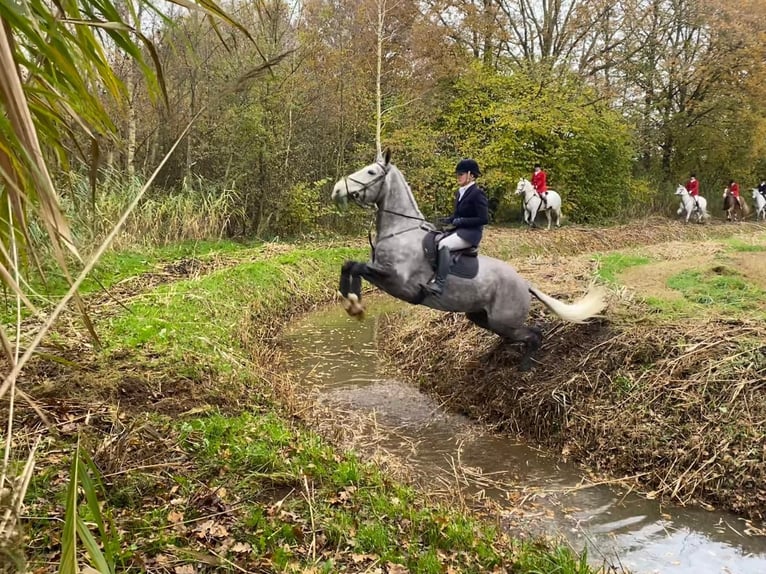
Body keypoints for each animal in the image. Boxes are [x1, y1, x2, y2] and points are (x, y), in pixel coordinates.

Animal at [331, 150, 607, 371]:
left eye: (371, 171)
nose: (336, 189)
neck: (400, 231)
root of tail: (525, 283)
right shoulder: (383, 275)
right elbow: (349, 265)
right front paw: (352, 302)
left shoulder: (397, 282)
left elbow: (357, 267)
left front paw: (354, 304)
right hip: (481, 317)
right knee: (511, 337)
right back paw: (493, 356)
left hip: (504, 320)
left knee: (534, 335)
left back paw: (525, 367)